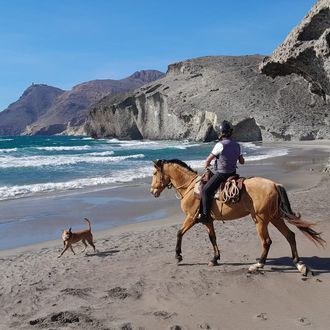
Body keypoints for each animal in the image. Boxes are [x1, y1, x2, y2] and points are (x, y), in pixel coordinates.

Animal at [151, 160, 326, 276]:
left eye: (154, 173)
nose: (152, 191)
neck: (190, 187)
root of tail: (274, 184)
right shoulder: (208, 220)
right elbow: (212, 238)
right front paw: (215, 259)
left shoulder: (192, 218)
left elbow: (179, 233)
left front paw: (178, 255)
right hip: (275, 217)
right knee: (290, 236)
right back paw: (299, 264)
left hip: (261, 220)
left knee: (267, 242)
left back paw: (258, 265)